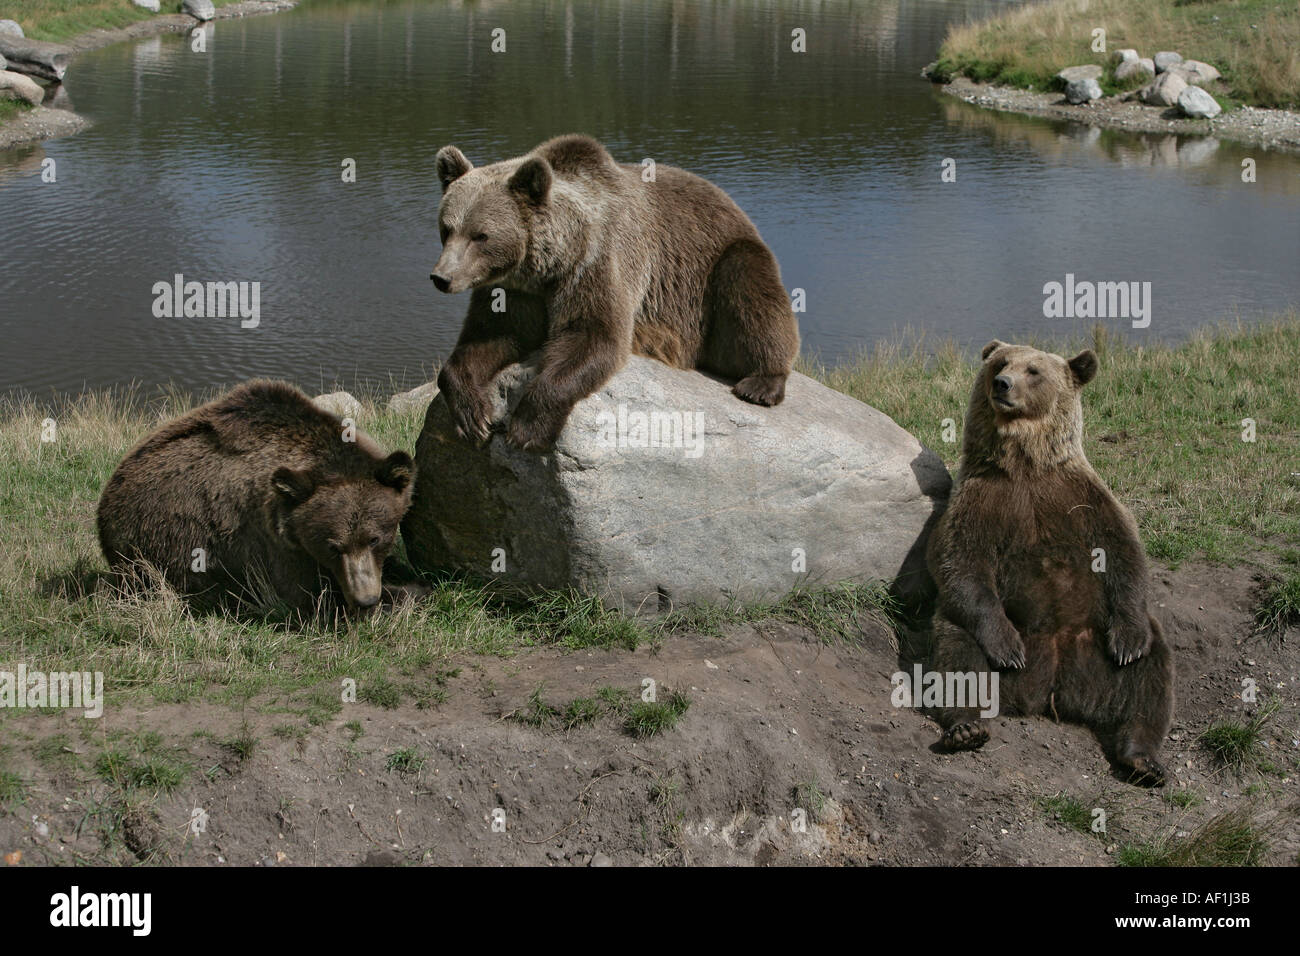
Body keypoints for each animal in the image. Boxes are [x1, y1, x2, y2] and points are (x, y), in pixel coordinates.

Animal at [97, 380, 416, 614]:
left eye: (374, 538)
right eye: (332, 546)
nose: (365, 599)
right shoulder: (270, 544)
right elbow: (308, 595)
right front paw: (401, 594)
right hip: (155, 544)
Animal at [429, 133, 800, 452]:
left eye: (480, 235)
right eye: (447, 228)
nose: (441, 277)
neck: (548, 265)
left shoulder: (600, 261)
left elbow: (595, 336)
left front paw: (527, 428)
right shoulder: (514, 290)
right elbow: (491, 336)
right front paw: (472, 415)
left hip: (718, 265)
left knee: (751, 290)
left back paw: (761, 383)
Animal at [924, 340, 1174, 786]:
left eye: (1034, 370)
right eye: (1001, 363)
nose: (1003, 383)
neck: (1026, 464)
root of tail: (1052, 689)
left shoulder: (1080, 498)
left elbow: (1124, 553)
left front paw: (1128, 641)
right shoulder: (981, 502)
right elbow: (960, 562)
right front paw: (1008, 649)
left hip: (1097, 638)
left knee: (1152, 671)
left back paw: (1143, 758)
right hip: (981, 633)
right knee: (958, 652)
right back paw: (968, 727)